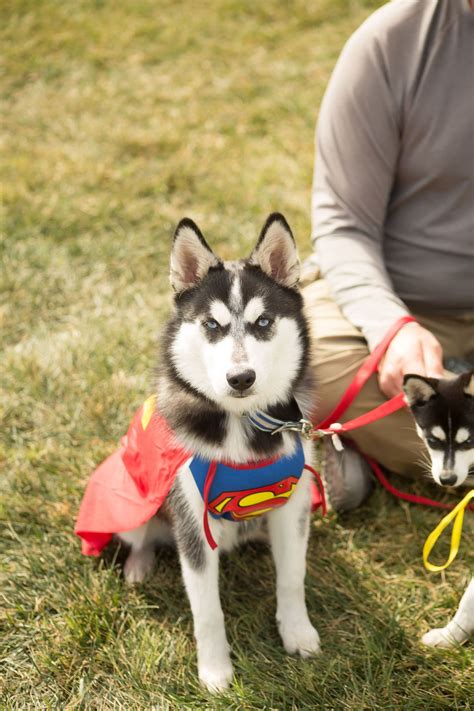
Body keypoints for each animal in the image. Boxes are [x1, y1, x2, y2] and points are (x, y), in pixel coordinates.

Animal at [118, 214, 320, 692]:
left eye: (263, 321)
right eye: (211, 325)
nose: (240, 378)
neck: (241, 424)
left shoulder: (294, 506)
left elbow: (292, 577)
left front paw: (296, 632)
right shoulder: (193, 524)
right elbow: (207, 611)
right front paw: (215, 670)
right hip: (132, 503)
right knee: (141, 536)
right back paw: (138, 564)